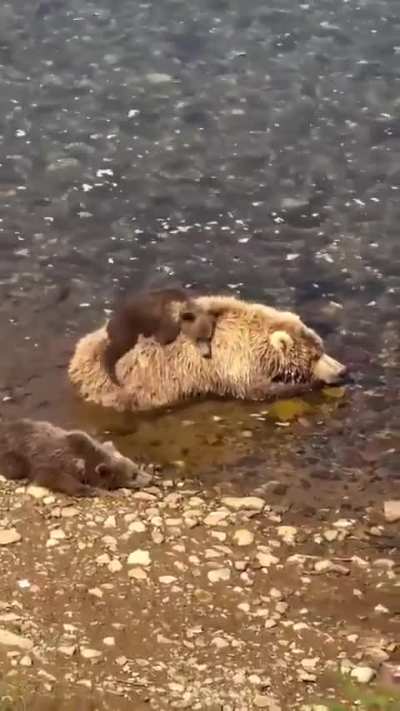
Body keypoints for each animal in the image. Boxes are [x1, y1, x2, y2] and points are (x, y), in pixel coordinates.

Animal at [68, 294, 349, 413]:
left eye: (322, 348)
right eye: (315, 355)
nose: (343, 370)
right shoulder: (232, 365)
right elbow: (257, 390)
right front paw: (305, 384)